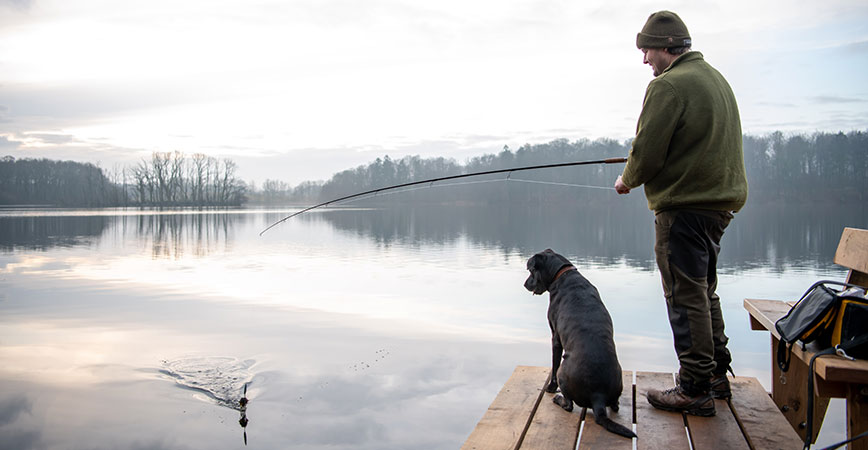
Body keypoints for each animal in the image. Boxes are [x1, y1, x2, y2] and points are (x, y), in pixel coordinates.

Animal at [524, 248, 636, 438]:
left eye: (531, 270)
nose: (525, 284)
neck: (563, 274)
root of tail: (598, 396)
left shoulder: (555, 337)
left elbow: (553, 364)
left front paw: (551, 388)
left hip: (563, 372)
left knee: (569, 404)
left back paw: (558, 398)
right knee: (615, 405)